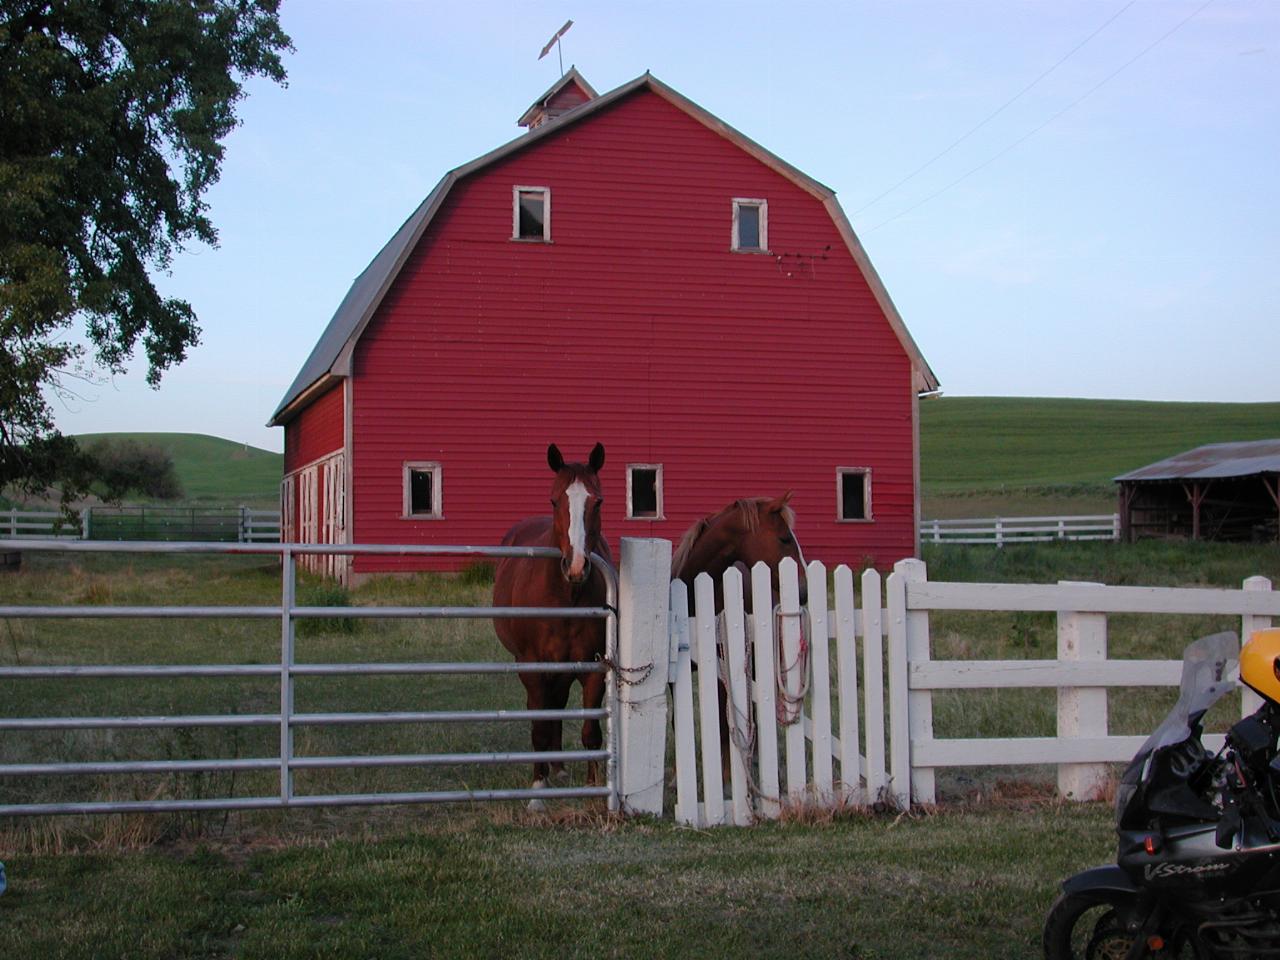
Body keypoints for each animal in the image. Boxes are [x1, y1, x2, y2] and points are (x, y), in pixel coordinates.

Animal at [491, 442, 611, 803]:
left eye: (597, 501)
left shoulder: (593, 666)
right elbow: (540, 725)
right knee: (543, 709)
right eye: (555, 500)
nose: (576, 566)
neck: (565, 594)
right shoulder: (532, 664)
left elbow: (590, 730)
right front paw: (537, 790)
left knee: (557, 703)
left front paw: (593, 787)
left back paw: (558, 767)